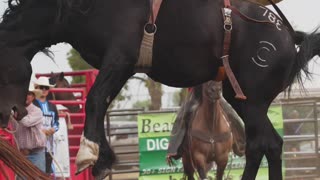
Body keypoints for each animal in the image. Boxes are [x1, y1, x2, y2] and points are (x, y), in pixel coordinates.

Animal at [0, 0, 320, 179]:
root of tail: (288, 35)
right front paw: (103, 159)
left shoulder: (120, 58)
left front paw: (90, 156)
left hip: (252, 101)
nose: (10, 113)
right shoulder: (120, 63)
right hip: (241, 97)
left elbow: (95, 100)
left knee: (263, 145)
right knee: (267, 145)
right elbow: (100, 102)